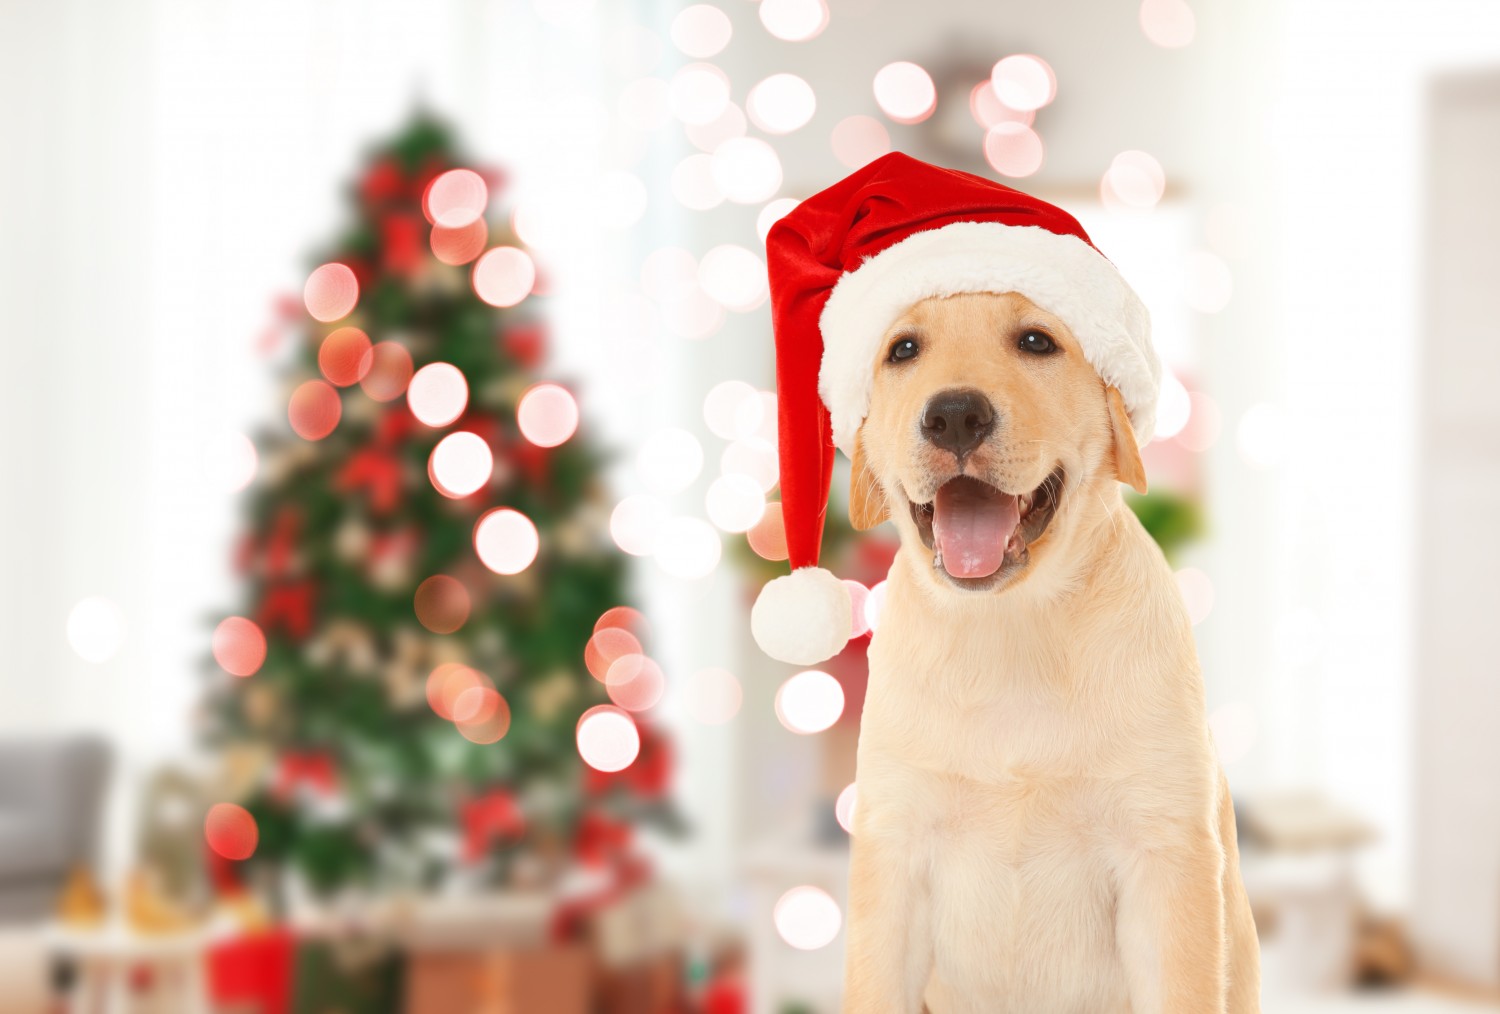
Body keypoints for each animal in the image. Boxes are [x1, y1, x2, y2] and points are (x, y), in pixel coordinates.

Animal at [840, 289, 1260, 1008]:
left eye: (1036, 342)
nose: (955, 415)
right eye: (903, 350)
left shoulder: (1164, 856)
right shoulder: (893, 851)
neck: (1011, 625)